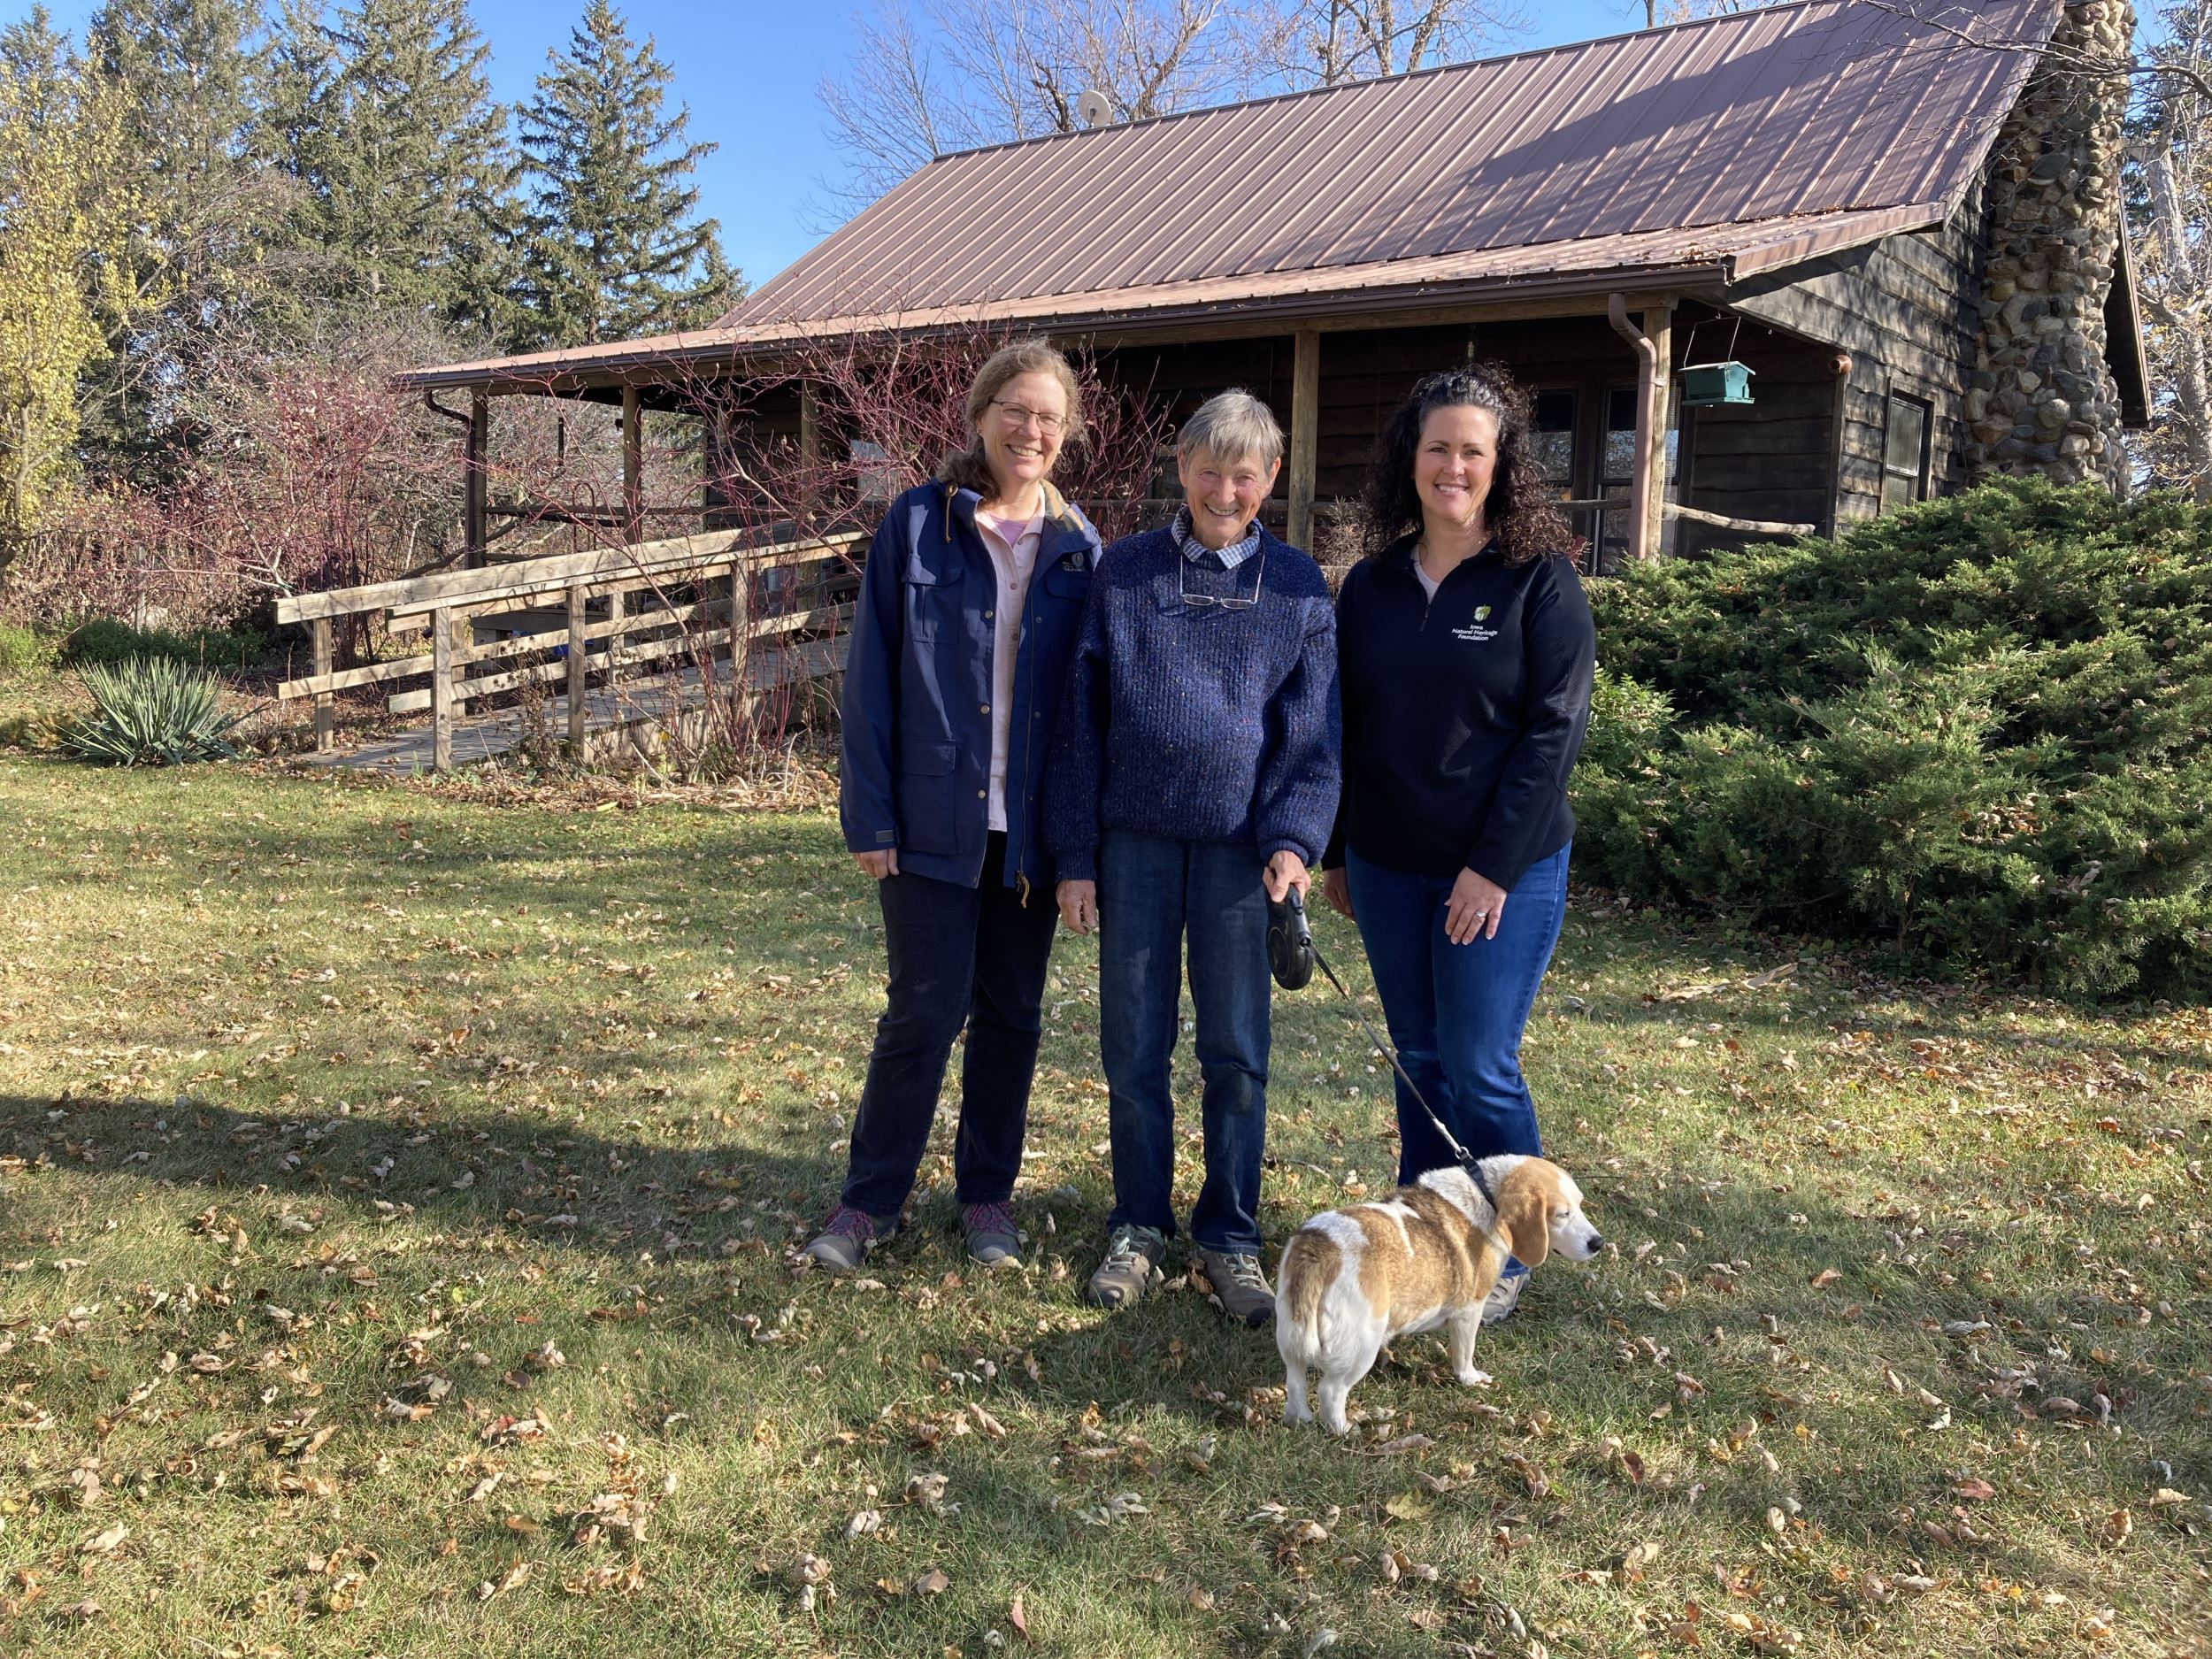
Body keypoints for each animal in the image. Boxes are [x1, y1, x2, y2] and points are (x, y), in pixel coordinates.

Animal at [1274, 1159, 1601, 1442]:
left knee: (1296, 1381)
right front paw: (1470, 1378)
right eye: (1561, 1214)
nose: (1598, 1243)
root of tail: (1319, 1248)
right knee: (1330, 1391)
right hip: (1360, 1346)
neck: (1486, 1194)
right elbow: (1464, 1354)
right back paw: (1344, 1430)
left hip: (1291, 1337)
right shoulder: (1469, 1312)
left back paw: (1298, 1420)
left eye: (1579, 1205)